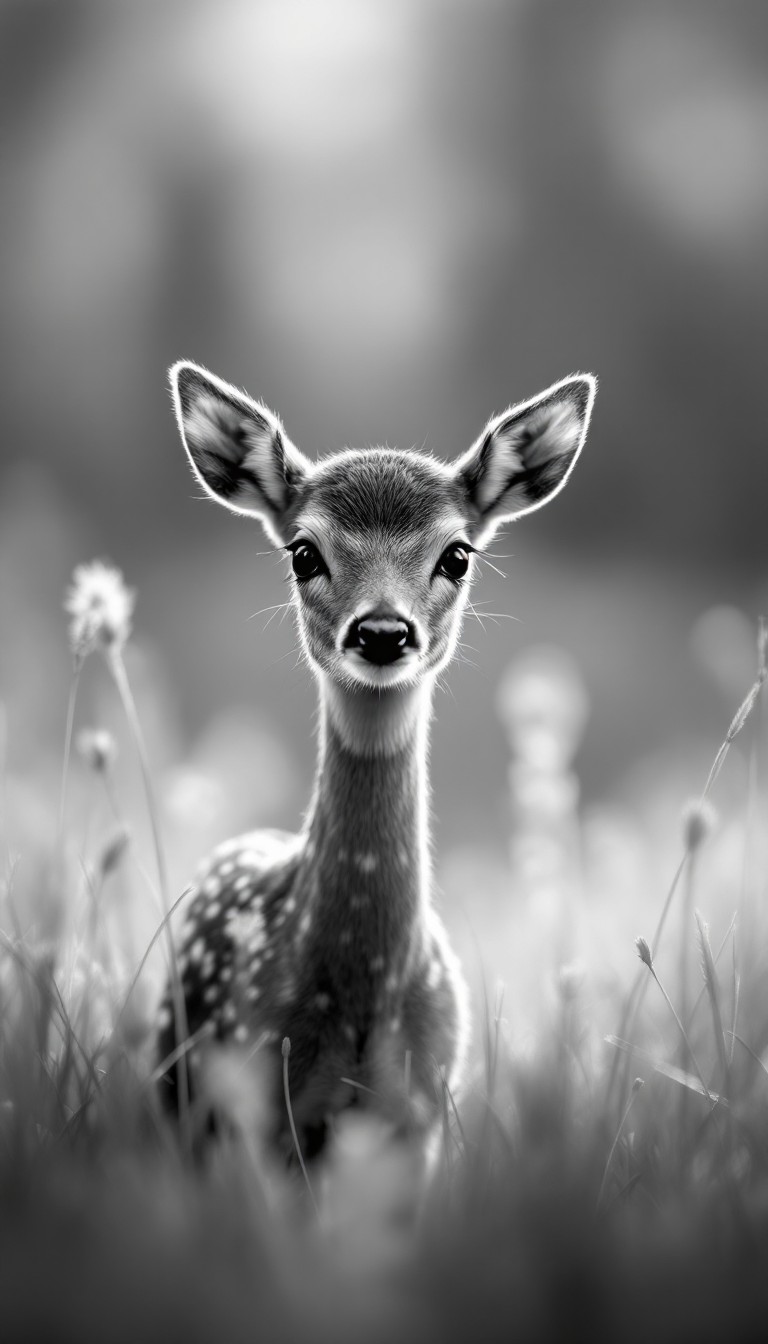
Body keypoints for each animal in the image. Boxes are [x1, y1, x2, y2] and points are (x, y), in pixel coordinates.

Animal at [156, 361, 596, 1166]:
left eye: (457, 553)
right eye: (304, 551)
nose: (384, 631)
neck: (357, 992)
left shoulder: (421, 1114)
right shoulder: (257, 1098)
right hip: (178, 1082)